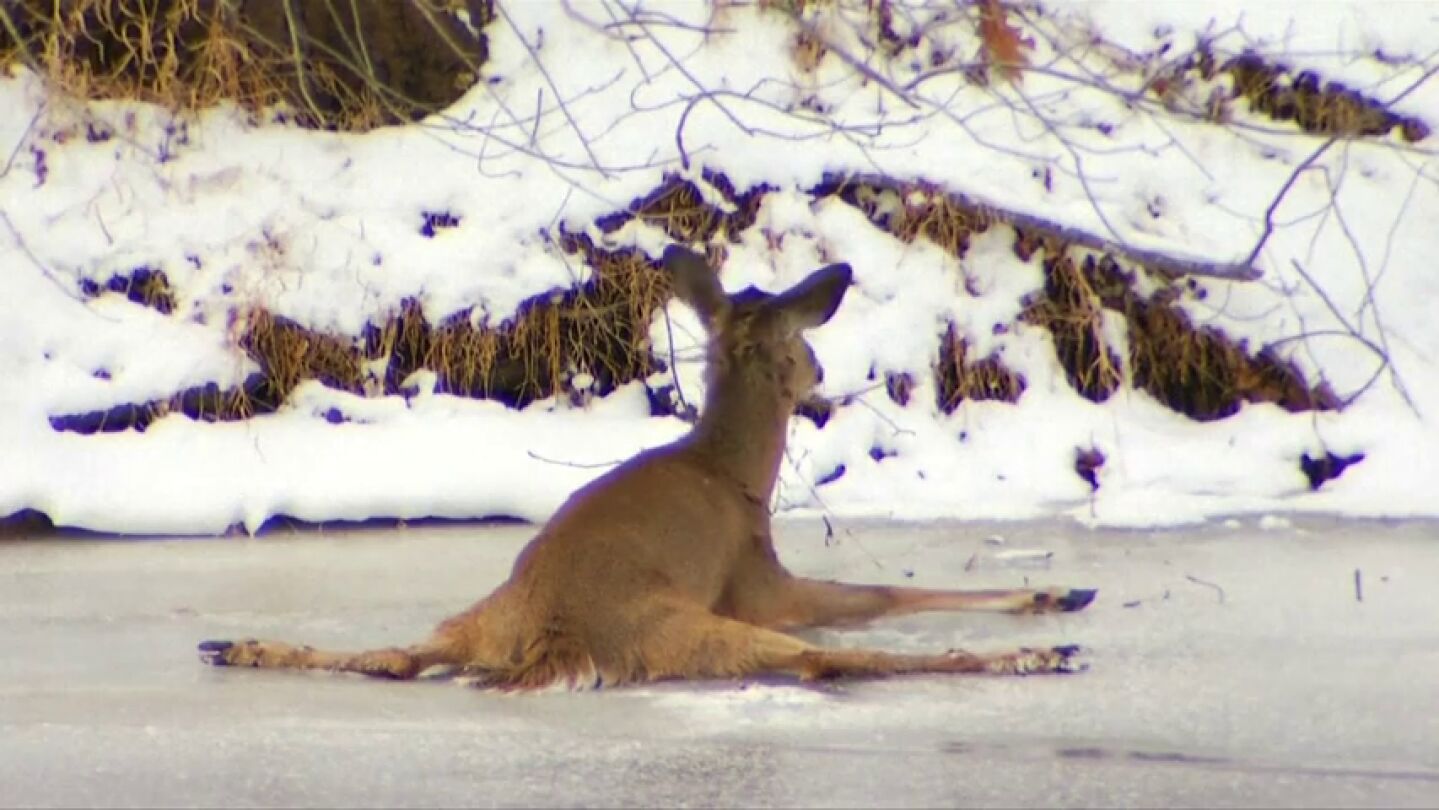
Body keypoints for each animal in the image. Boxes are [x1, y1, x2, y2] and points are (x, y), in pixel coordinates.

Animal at [198, 245, 1096, 689]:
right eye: (804, 342)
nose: (820, 374)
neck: (733, 477)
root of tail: (552, 636)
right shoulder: (758, 579)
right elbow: (875, 596)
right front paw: (1052, 595)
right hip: (683, 624)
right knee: (820, 659)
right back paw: (1038, 656)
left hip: (482, 612)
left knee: (399, 655)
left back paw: (235, 644)